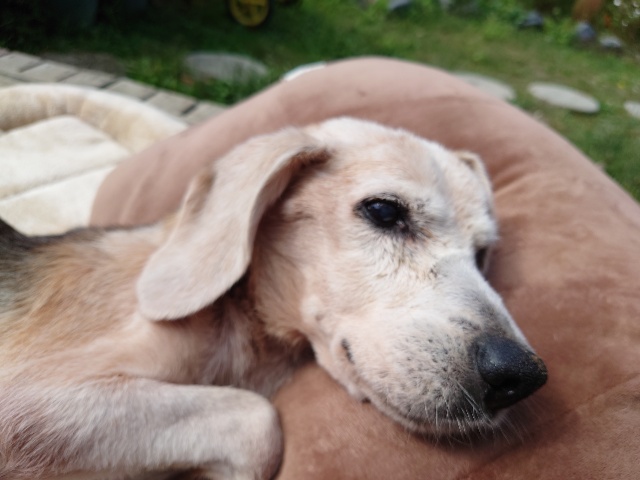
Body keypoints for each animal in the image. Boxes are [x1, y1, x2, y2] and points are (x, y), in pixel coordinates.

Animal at [0, 117, 547, 480]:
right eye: (384, 211)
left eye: (482, 254)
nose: (521, 375)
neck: (239, 327)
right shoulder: (26, 403)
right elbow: (258, 421)